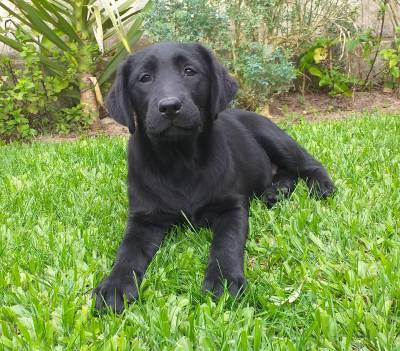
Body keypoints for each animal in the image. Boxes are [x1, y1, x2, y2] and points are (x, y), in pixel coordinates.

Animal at [94, 42, 334, 314]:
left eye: (190, 71)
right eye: (144, 78)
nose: (170, 106)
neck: (180, 159)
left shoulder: (232, 207)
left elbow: (226, 243)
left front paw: (224, 280)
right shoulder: (144, 217)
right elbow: (127, 251)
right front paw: (114, 286)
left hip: (272, 135)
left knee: (307, 164)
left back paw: (321, 186)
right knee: (286, 172)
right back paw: (276, 191)